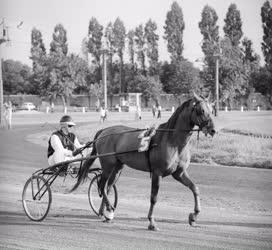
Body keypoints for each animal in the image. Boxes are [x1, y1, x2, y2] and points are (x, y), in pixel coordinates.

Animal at [71, 92, 216, 230]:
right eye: (201, 110)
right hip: (108, 165)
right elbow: (154, 198)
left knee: (108, 186)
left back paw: (105, 213)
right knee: (102, 185)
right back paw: (109, 209)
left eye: (212, 109)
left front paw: (194, 216)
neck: (172, 141)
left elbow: (195, 188)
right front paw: (151, 222)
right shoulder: (157, 173)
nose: (213, 130)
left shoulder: (179, 173)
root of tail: (104, 131)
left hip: (117, 167)